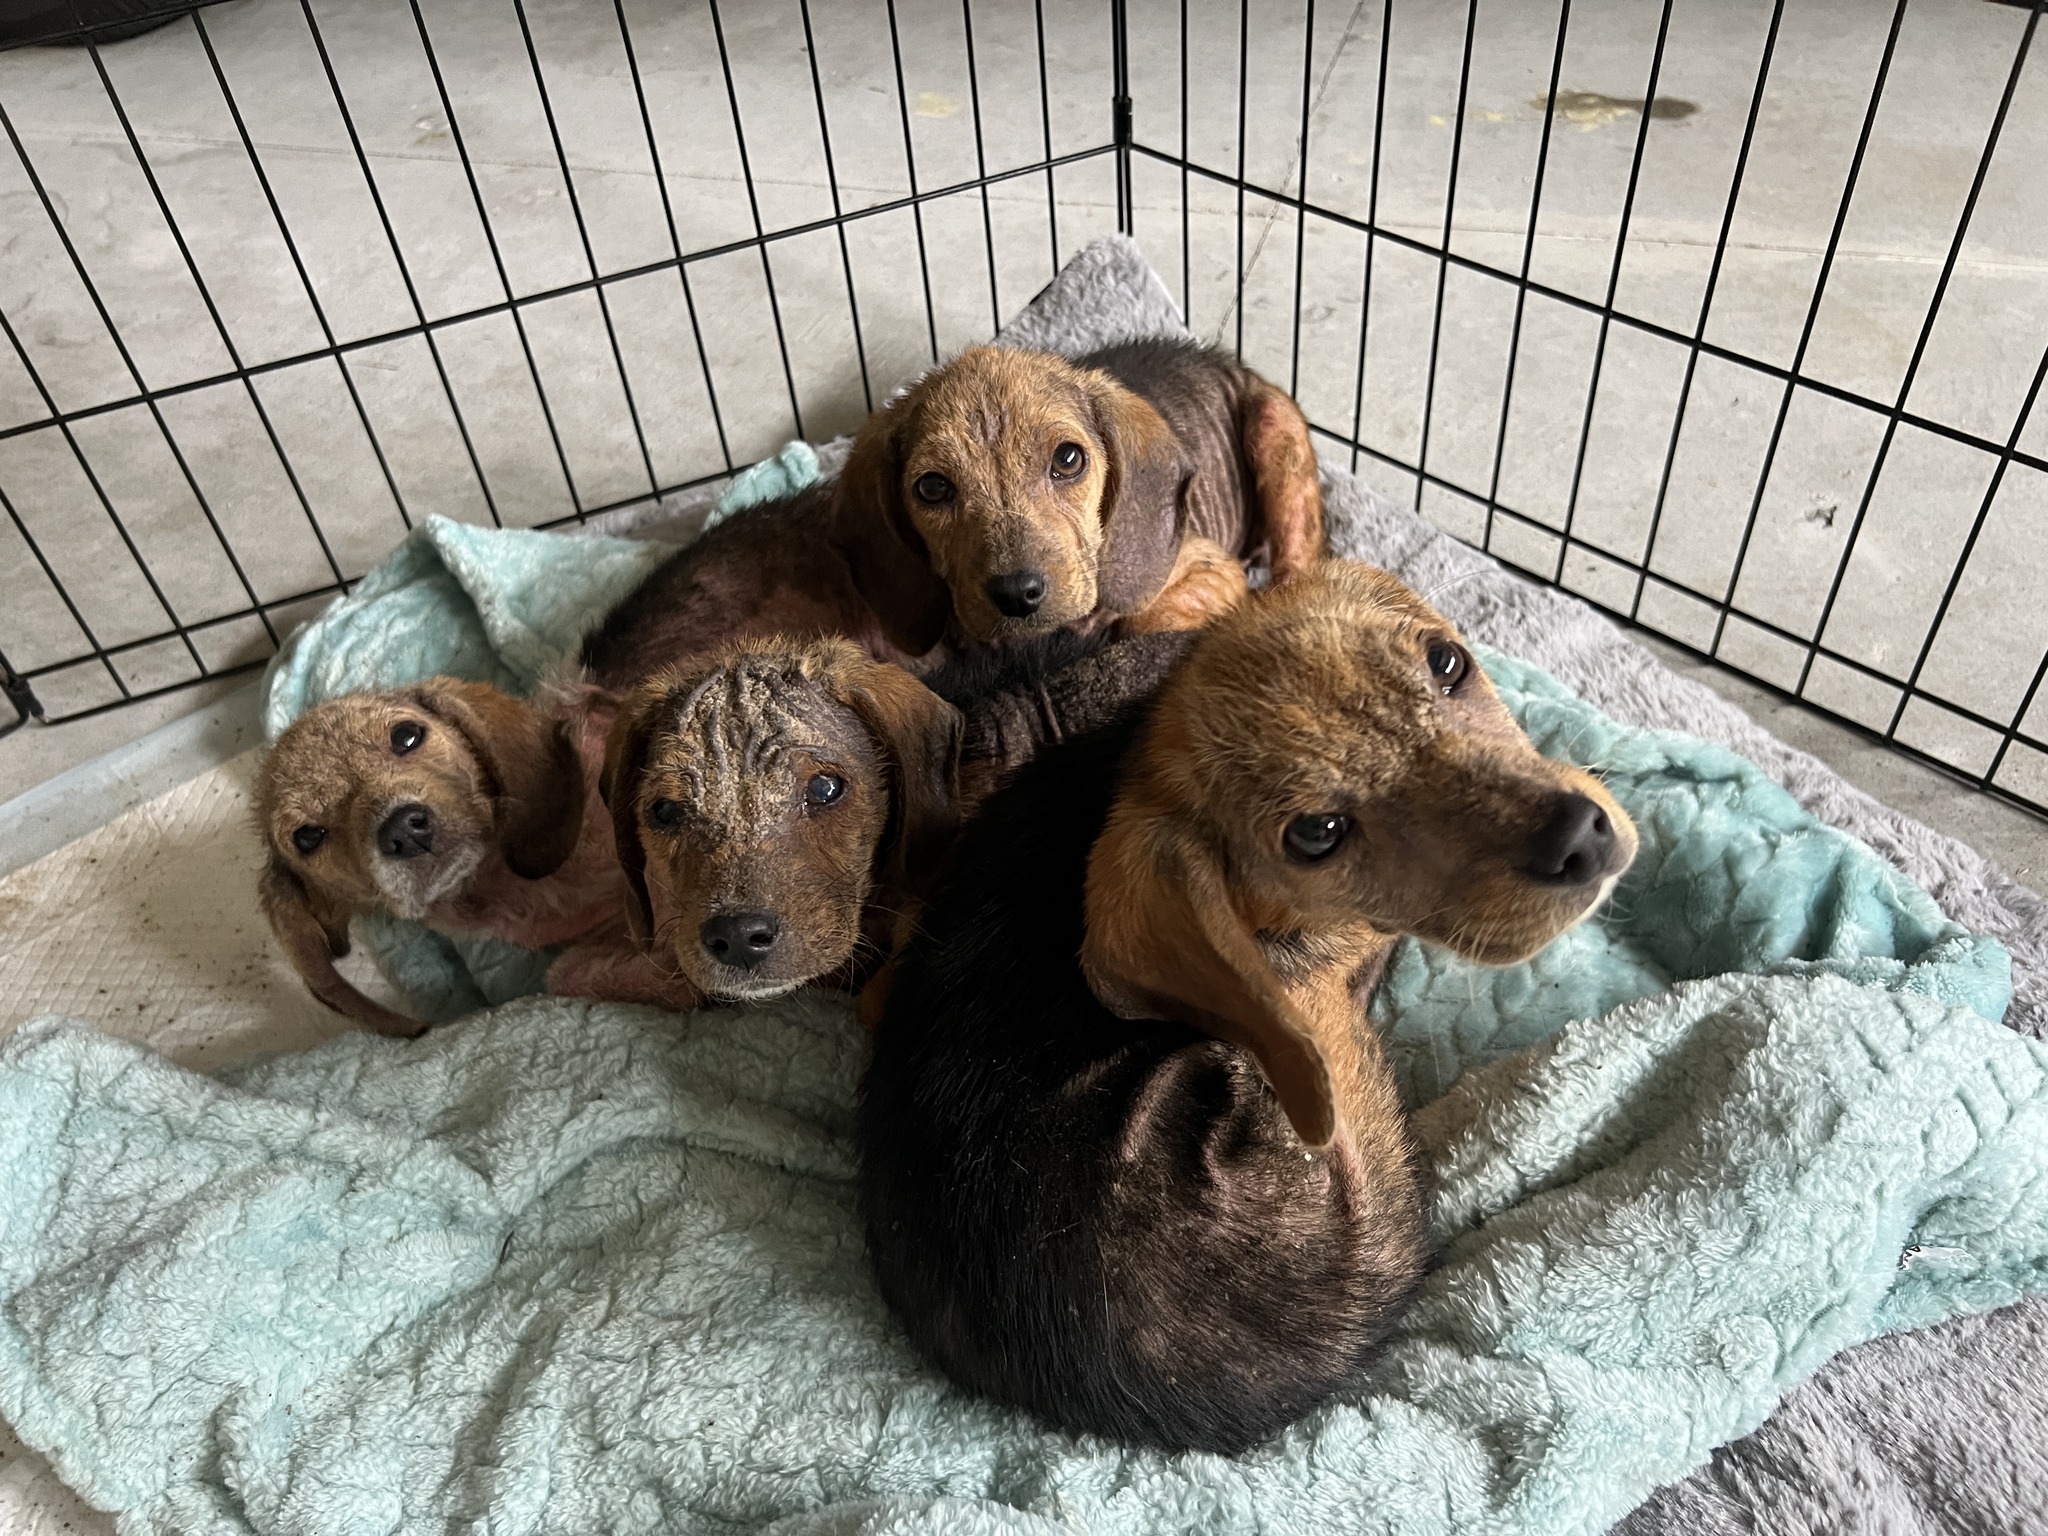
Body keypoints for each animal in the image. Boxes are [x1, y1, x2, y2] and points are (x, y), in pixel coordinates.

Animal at [835, 333, 1327, 651]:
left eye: (1068, 459)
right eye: (933, 487)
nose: (1018, 594)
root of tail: (1236, 366)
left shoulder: (1213, 572)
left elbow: (1140, 623)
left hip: (1274, 427)